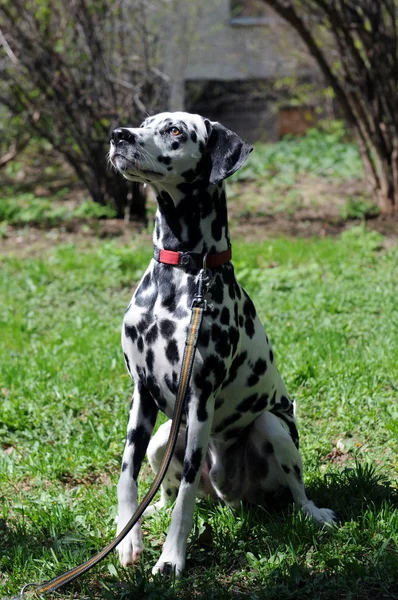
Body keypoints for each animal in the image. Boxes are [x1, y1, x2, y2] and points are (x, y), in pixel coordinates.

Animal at [109, 111, 336, 576]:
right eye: (144, 121)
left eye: (175, 130)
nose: (118, 135)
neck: (181, 275)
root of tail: (231, 497)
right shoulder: (141, 393)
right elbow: (127, 474)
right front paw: (128, 539)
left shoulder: (199, 398)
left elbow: (187, 495)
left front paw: (172, 559)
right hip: (164, 437)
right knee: (164, 489)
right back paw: (151, 510)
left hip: (272, 426)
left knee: (297, 492)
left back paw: (315, 513)